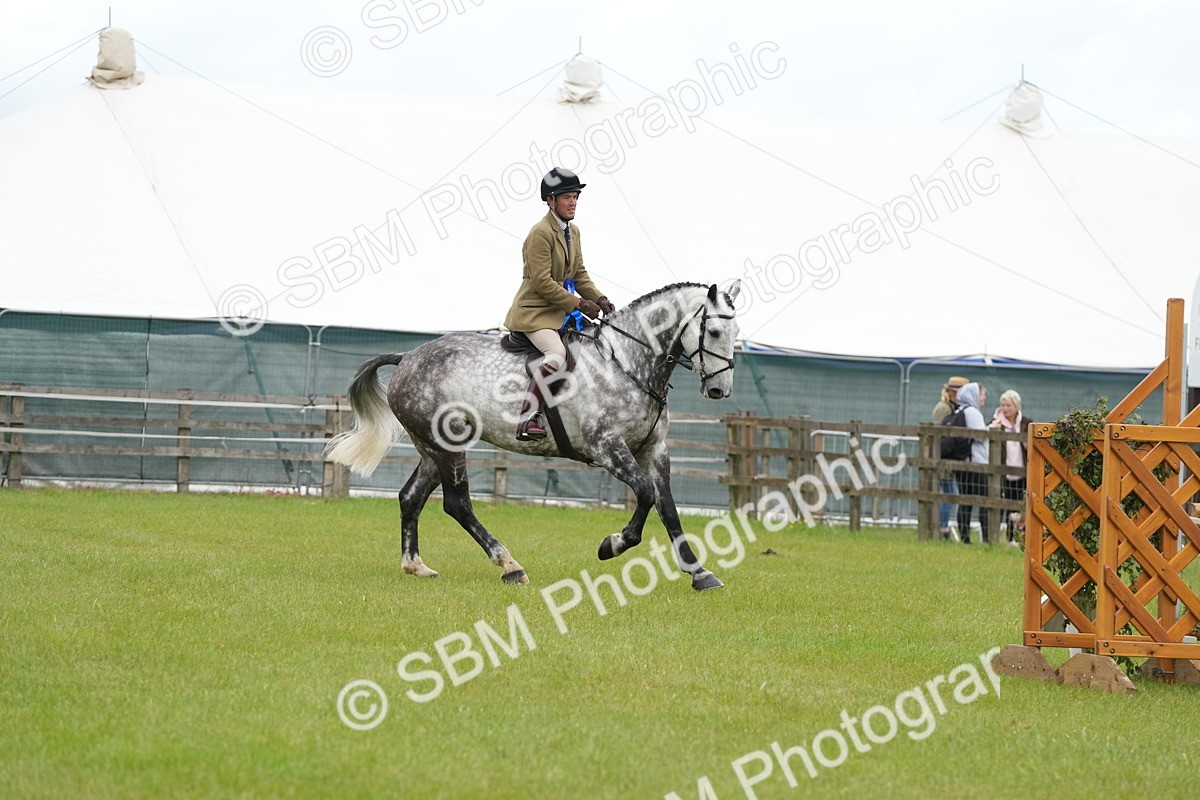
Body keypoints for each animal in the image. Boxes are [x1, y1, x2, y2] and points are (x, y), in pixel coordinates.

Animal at [323, 280, 741, 591]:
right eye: (714, 331)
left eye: (736, 332)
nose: (720, 390)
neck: (626, 363)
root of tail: (407, 356)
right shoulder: (607, 447)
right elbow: (644, 494)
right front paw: (612, 545)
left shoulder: (654, 450)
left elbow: (667, 507)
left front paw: (699, 573)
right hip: (448, 445)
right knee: (457, 505)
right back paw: (510, 566)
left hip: (431, 448)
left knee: (411, 498)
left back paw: (416, 566)